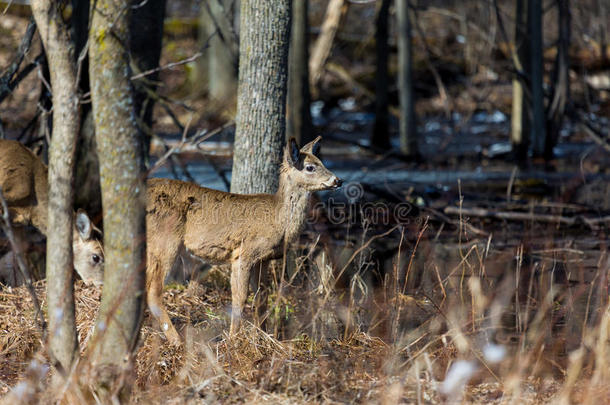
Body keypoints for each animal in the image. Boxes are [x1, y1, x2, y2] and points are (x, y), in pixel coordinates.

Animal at [145, 137, 340, 344]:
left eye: (322, 161)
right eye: (310, 167)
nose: (337, 180)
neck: (278, 220)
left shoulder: (263, 259)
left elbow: (262, 296)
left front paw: (263, 335)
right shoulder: (244, 253)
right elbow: (240, 297)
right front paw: (234, 339)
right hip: (165, 240)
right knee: (154, 291)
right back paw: (177, 340)